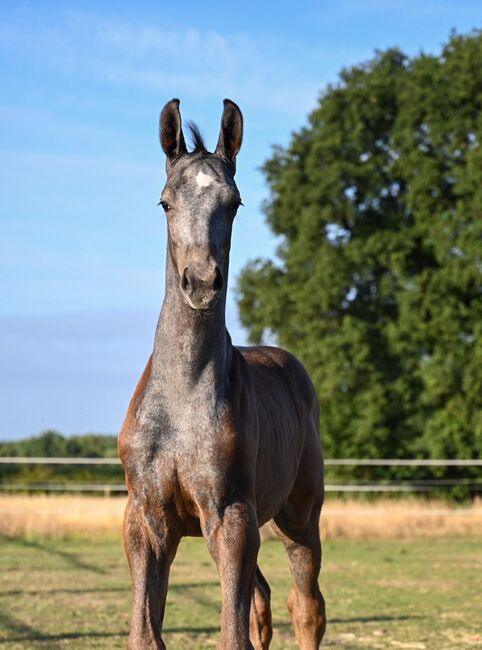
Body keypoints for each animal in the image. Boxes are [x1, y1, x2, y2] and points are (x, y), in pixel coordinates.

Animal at [118, 97, 326, 648]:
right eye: (166, 202)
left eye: (233, 203)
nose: (201, 282)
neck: (182, 400)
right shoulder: (146, 518)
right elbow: (146, 633)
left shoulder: (231, 515)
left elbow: (232, 635)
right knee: (263, 603)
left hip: (298, 517)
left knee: (306, 607)